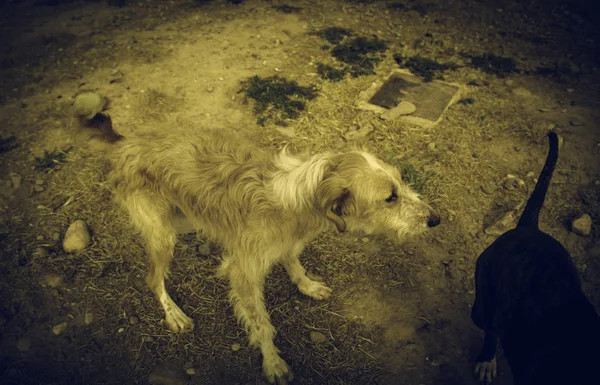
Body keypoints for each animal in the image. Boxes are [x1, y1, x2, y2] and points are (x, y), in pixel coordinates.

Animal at [105, 127, 438, 382]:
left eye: (402, 182)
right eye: (390, 198)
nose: (435, 219)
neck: (303, 197)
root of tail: (125, 144)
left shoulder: (288, 242)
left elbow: (293, 260)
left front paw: (307, 285)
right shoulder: (243, 272)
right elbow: (261, 324)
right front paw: (273, 363)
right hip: (162, 236)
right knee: (152, 279)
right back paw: (173, 313)